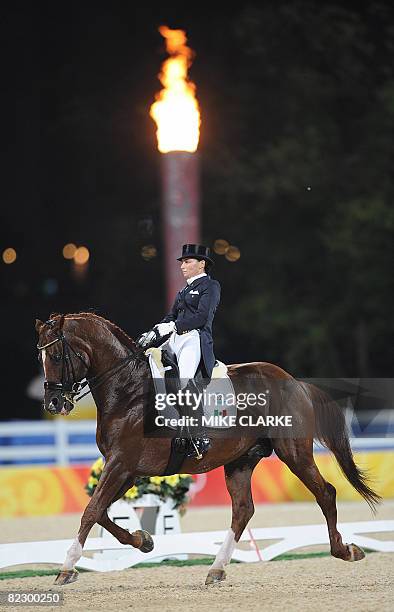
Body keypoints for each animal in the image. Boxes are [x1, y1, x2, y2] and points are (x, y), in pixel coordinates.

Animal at [35, 314, 380, 584]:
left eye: (56, 356)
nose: (53, 403)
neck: (127, 391)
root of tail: (294, 382)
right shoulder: (127, 469)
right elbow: (102, 512)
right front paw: (143, 541)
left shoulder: (121, 464)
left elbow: (92, 511)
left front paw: (66, 568)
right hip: (241, 460)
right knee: (243, 510)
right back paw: (216, 568)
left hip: (293, 453)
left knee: (325, 493)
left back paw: (345, 550)